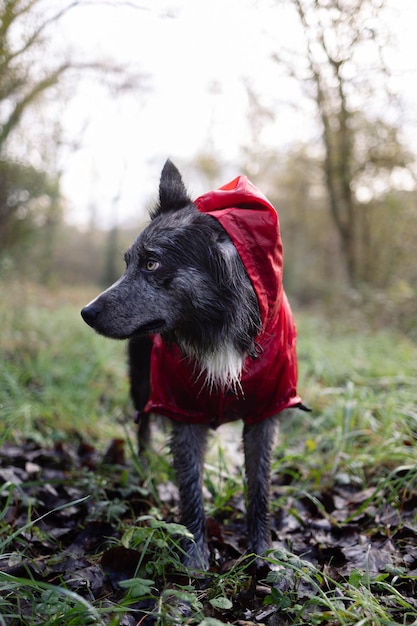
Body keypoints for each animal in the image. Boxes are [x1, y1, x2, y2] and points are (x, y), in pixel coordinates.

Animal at [80, 158, 306, 568]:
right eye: (128, 263)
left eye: (152, 263)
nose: (86, 313)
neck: (216, 329)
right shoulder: (182, 412)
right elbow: (190, 491)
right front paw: (195, 557)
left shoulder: (265, 414)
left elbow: (259, 489)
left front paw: (263, 554)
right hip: (142, 387)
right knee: (143, 430)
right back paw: (145, 477)